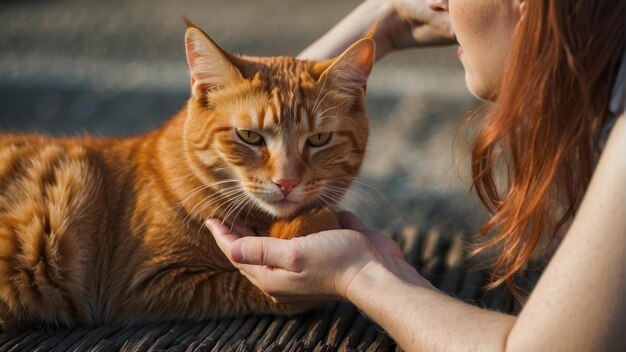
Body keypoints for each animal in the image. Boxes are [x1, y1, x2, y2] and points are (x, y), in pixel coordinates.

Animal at [0, 23, 372, 328]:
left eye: (319, 139)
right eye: (249, 136)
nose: (286, 182)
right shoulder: (142, 285)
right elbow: (246, 286)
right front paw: (316, 221)